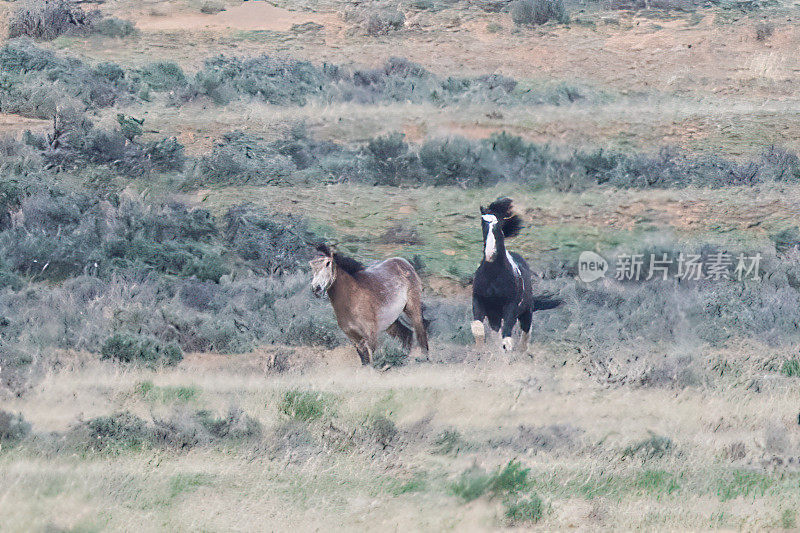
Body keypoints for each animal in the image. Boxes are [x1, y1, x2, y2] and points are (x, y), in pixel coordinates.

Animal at [472, 197, 560, 352]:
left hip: (526, 312)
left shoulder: (511, 307)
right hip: (495, 315)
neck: (493, 274)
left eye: (499, 223)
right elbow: (478, 329)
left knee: (525, 334)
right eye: (483, 223)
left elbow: (507, 339)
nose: (490, 253)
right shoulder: (479, 301)